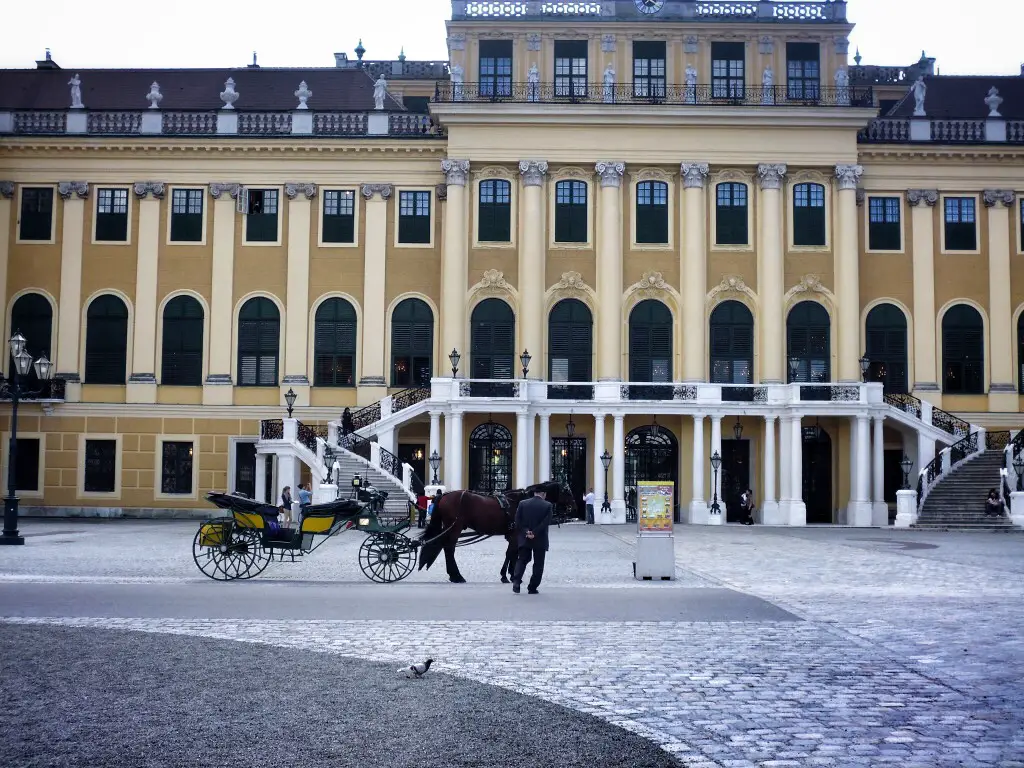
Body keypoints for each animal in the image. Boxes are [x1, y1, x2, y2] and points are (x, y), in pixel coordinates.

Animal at [415, 481, 577, 581]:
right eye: (568, 491)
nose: (574, 507)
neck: (518, 502)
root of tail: (444, 495)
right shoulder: (515, 535)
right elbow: (510, 554)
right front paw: (506, 575)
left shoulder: (513, 536)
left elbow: (513, 554)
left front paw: (511, 574)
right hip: (455, 527)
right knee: (449, 549)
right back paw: (457, 576)